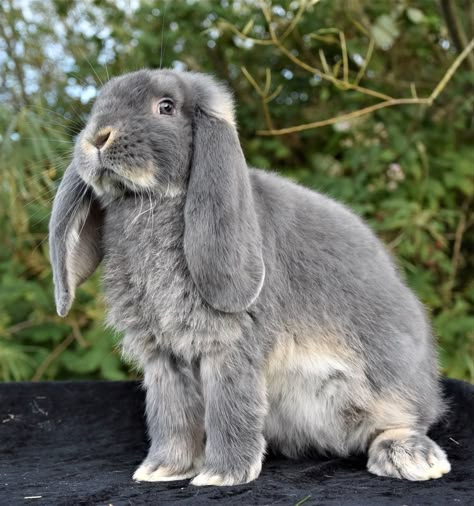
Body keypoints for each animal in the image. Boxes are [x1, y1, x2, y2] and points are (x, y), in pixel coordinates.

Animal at [49, 69, 452, 484]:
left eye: (166, 107)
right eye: (98, 105)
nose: (97, 137)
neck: (148, 204)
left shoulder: (231, 347)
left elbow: (231, 409)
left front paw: (220, 475)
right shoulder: (163, 357)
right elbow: (171, 415)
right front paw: (163, 469)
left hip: (388, 381)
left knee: (403, 419)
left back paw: (411, 458)